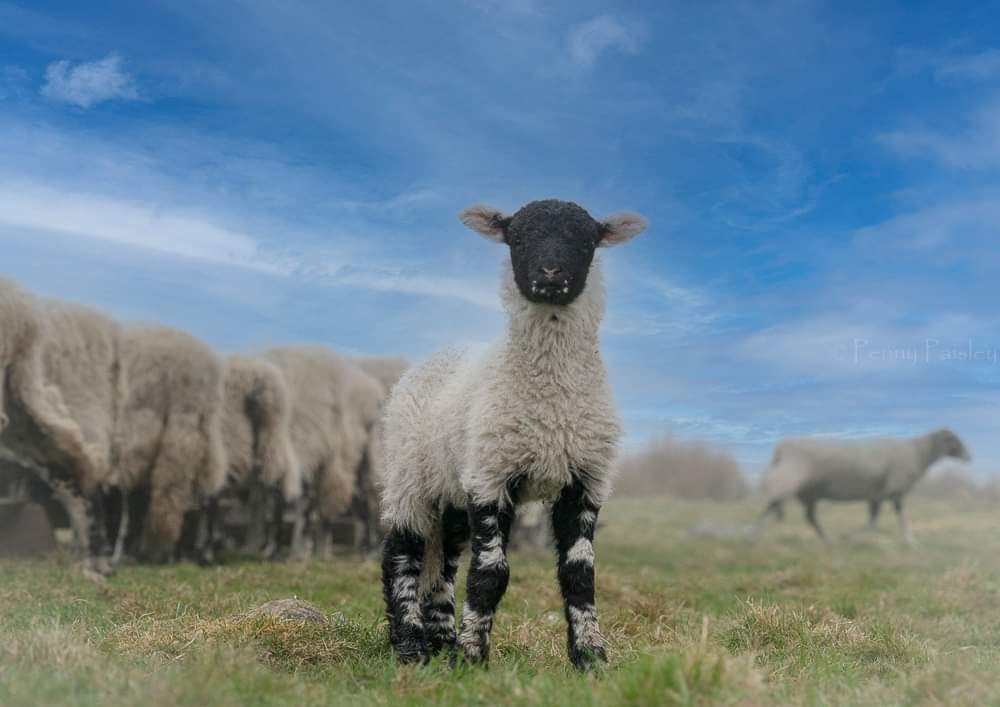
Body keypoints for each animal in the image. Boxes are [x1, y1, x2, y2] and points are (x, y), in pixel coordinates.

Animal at [261, 347, 387, 559]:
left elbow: (302, 503)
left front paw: (299, 551)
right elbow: (277, 504)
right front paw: (276, 549)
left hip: (366, 458)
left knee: (370, 501)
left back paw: (369, 550)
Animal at [380, 199, 647, 669]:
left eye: (587, 239)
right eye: (516, 238)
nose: (550, 272)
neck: (552, 408)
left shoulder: (586, 480)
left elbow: (580, 575)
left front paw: (591, 657)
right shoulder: (491, 476)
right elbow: (490, 573)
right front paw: (471, 658)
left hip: (453, 485)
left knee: (444, 560)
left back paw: (441, 638)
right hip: (408, 472)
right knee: (403, 550)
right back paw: (412, 646)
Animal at [757, 428, 971, 544]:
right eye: (953, 440)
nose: (969, 456)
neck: (919, 452)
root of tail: (780, 449)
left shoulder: (877, 494)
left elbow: (873, 521)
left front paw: (848, 536)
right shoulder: (895, 491)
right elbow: (899, 518)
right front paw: (910, 540)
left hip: (808, 493)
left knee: (805, 516)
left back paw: (828, 540)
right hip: (789, 480)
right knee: (773, 505)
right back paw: (753, 534)